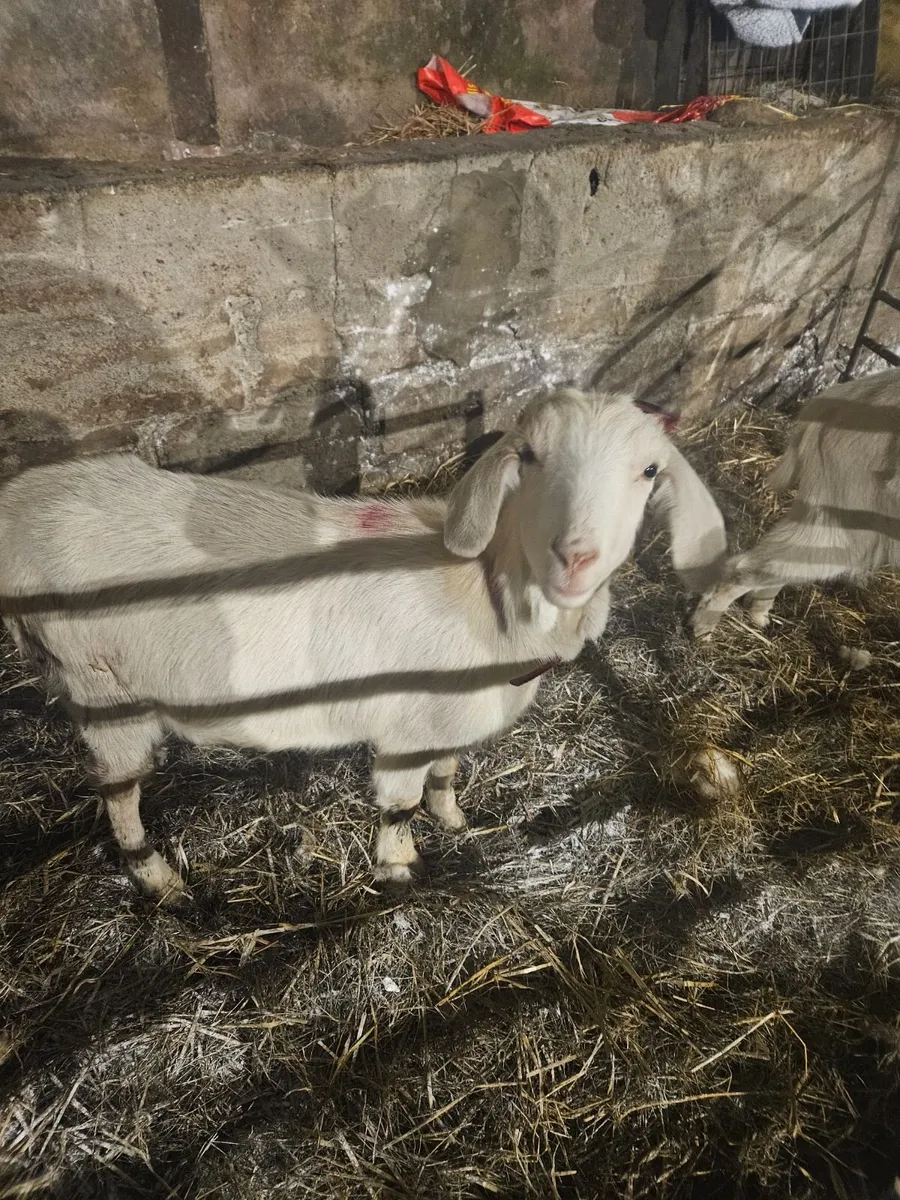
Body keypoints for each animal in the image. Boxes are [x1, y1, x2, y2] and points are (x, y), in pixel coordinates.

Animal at [0, 389, 725, 902]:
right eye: (528, 457)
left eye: (649, 470)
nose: (574, 557)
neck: (485, 594)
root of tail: (15, 513)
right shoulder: (404, 729)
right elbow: (399, 805)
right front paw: (401, 869)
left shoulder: (448, 719)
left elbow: (446, 772)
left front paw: (454, 820)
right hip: (103, 688)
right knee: (118, 793)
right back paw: (158, 879)